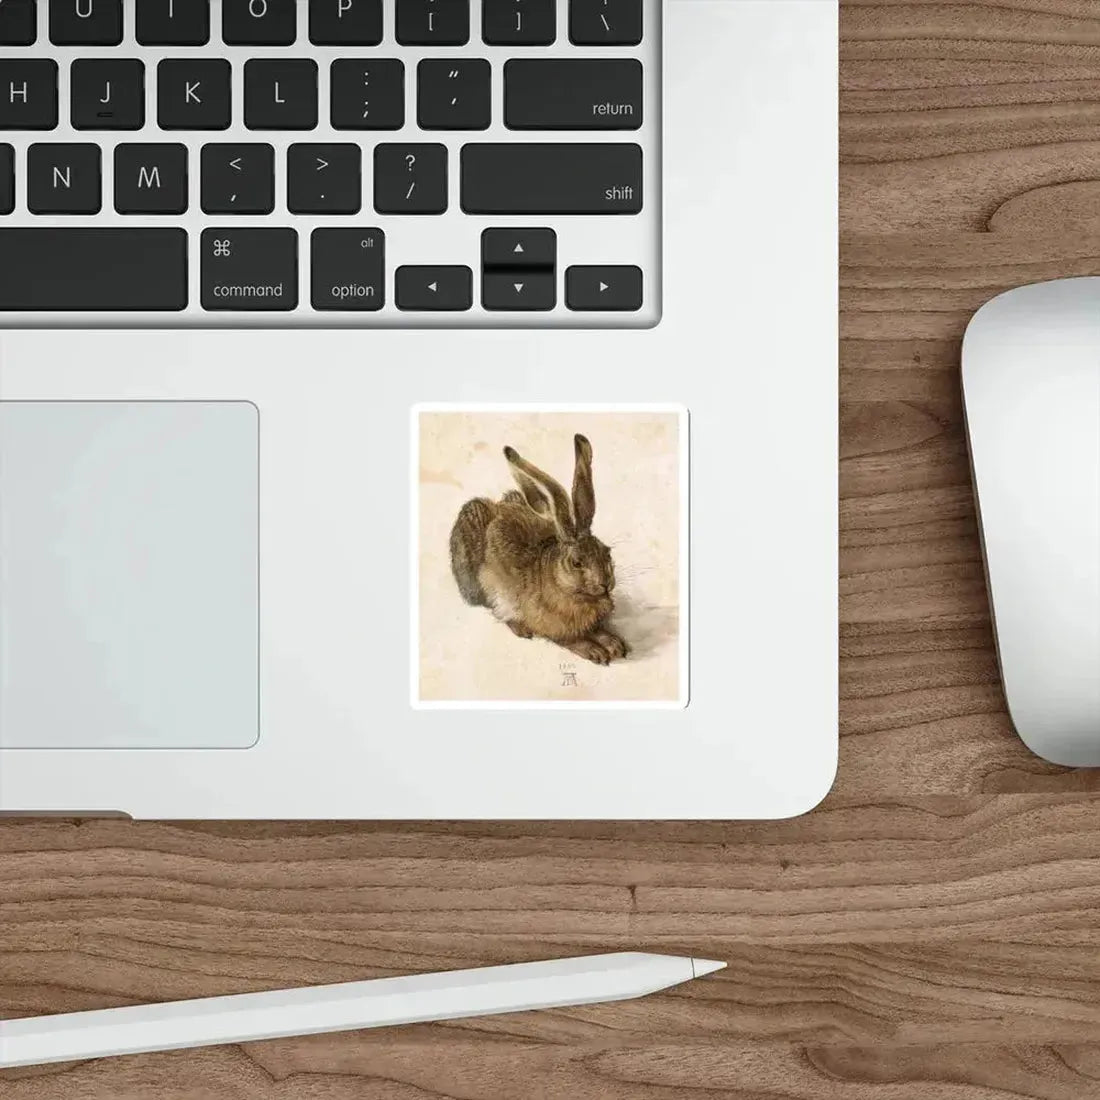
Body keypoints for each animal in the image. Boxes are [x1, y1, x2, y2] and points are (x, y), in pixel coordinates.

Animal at [450, 433, 629, 665]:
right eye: (577, 562)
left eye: (607, 552)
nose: (605, 584)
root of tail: (499, 507)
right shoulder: (553, 628)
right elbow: (571, 640)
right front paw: (595, 651)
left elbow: (599, 631)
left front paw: (615, 644)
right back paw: (520, 628)